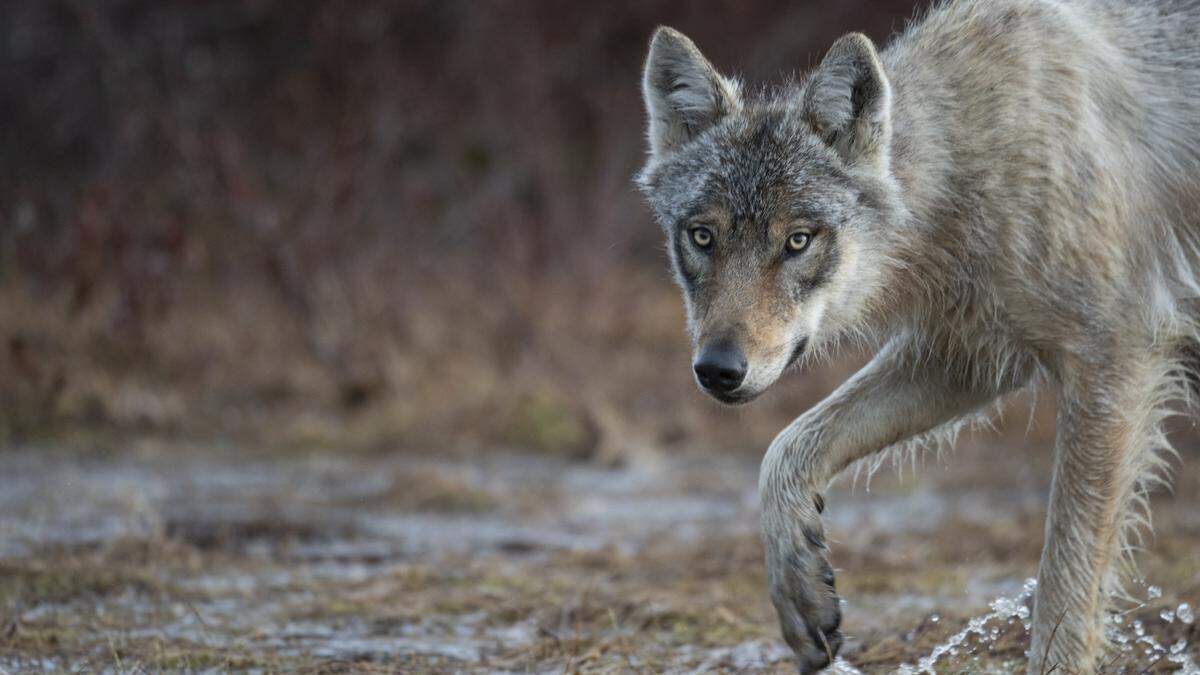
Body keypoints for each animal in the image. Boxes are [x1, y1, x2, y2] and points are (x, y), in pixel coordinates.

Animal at [638, 1, 1200, 667]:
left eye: (798, 241)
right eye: (702, 236)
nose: (718, 370)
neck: (972, 162)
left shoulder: (1114, 359)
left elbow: (1065, 580)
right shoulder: (968, 356)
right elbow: (785, 450)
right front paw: (800, 591)